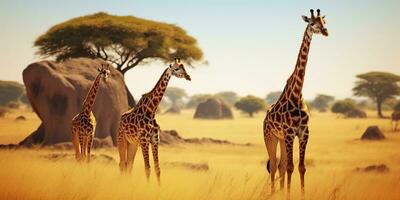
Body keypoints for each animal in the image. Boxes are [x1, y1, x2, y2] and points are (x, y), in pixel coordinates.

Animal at [262, 8, 328, 195]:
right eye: (312, 23)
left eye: (324, 22)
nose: (325, 32)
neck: (297, 94)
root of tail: (265, 118)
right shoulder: (290, 132)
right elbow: (291, 167)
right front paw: (288, 195)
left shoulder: (304, 132)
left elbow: (301, 167)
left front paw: (300, 194)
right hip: (271, 136)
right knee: (273, 165)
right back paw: (272, 193)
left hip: (282, 138)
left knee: (281, 166)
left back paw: (279, 191)